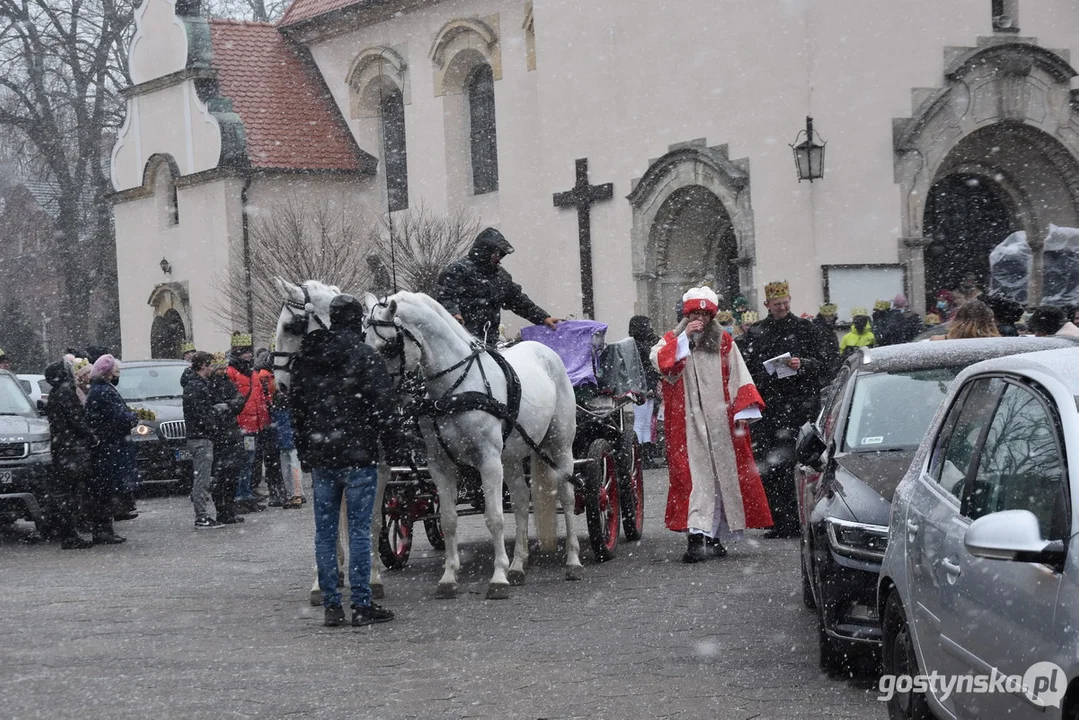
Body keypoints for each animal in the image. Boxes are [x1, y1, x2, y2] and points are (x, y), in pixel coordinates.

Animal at [362, 289, 582, 600]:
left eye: (389, 346)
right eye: (364, 341)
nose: (372, 397)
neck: (453, 390)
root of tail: (548, 351)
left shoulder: (488, 461)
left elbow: (494, 517)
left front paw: (498, 578)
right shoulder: (440, 465)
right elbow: (449, 519)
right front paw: (449, 577)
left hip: (560, 446)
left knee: (567, 496)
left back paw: (573, 561)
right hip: (511, 457)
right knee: (520, 500)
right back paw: (518, 564)